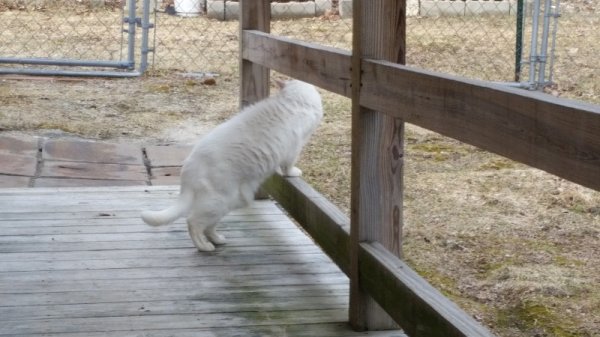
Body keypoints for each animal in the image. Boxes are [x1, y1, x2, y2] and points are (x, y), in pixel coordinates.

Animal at [141, 79, 324, 249]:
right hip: (218, 201)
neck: (293, 100)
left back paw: (217, 240)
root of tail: (187, 168)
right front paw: (293, 172)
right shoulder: (294, 148)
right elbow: (288, 166)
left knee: (207, 226)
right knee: (193, 222)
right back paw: (205, 247)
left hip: (230, 202)